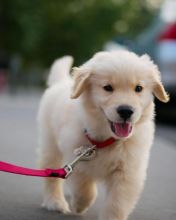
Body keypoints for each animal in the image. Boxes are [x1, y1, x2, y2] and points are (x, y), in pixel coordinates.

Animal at [37, 50, 169, 219]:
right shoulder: (76, 157)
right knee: (51, 173)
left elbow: (117, 203)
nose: (126, 111)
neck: (107, 139)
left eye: (138, 88)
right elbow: (84, 188)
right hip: (50, 142)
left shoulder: (127, 171)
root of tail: (61, 82)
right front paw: (80, 205)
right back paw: (55, 202)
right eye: (108, 87)